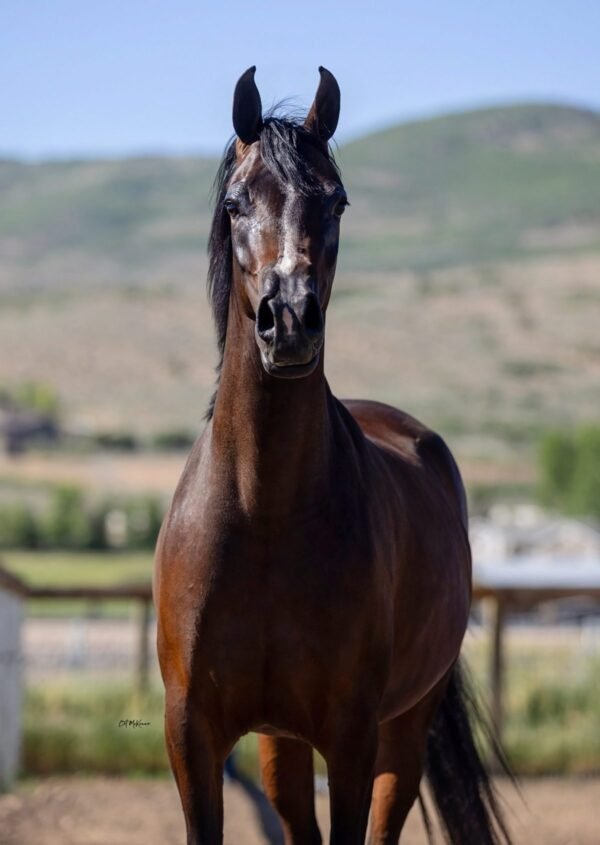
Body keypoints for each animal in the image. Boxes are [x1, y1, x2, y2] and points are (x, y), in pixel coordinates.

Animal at [154, 66, 511, 845]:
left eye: (336, 199)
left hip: (402, 729)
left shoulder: (350, 736)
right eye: (235, 203)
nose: (289, 321)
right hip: (280, 743)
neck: (264, 515)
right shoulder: (193, 738)